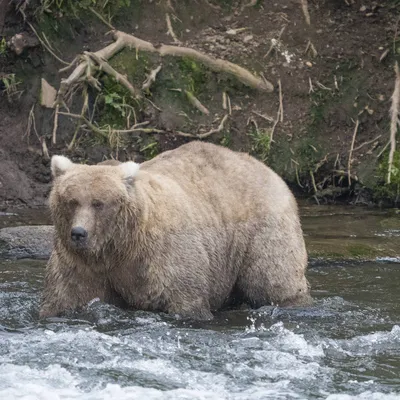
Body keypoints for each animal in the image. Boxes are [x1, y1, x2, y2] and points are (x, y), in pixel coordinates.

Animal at [39, 141, 310, 318]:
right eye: (71, 201)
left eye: (98, 203)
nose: (79, 233)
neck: (120, 248)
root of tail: (268, 169)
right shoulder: (81, 265)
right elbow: (66, 297)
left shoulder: (164, 257)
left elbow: (185, 300)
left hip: (262, 230)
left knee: (272, 279)